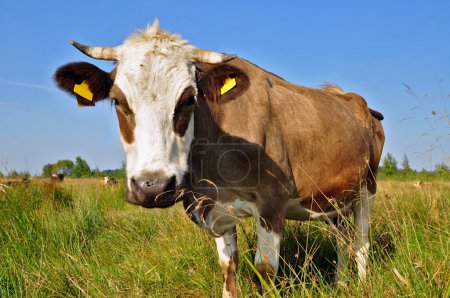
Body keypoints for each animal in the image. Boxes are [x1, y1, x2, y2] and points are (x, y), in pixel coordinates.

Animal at [52, 19, 384, 296]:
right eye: (118, 101)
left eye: (189, 99)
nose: (152, 187)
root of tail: (352, 98)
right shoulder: (217, 210)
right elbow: (228, 267)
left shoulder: (272, 202)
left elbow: (264, 270)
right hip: (335, 198)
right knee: (342, 238)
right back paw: (340, 284)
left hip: (367, 190)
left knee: (361, 241)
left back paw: (362, 284)